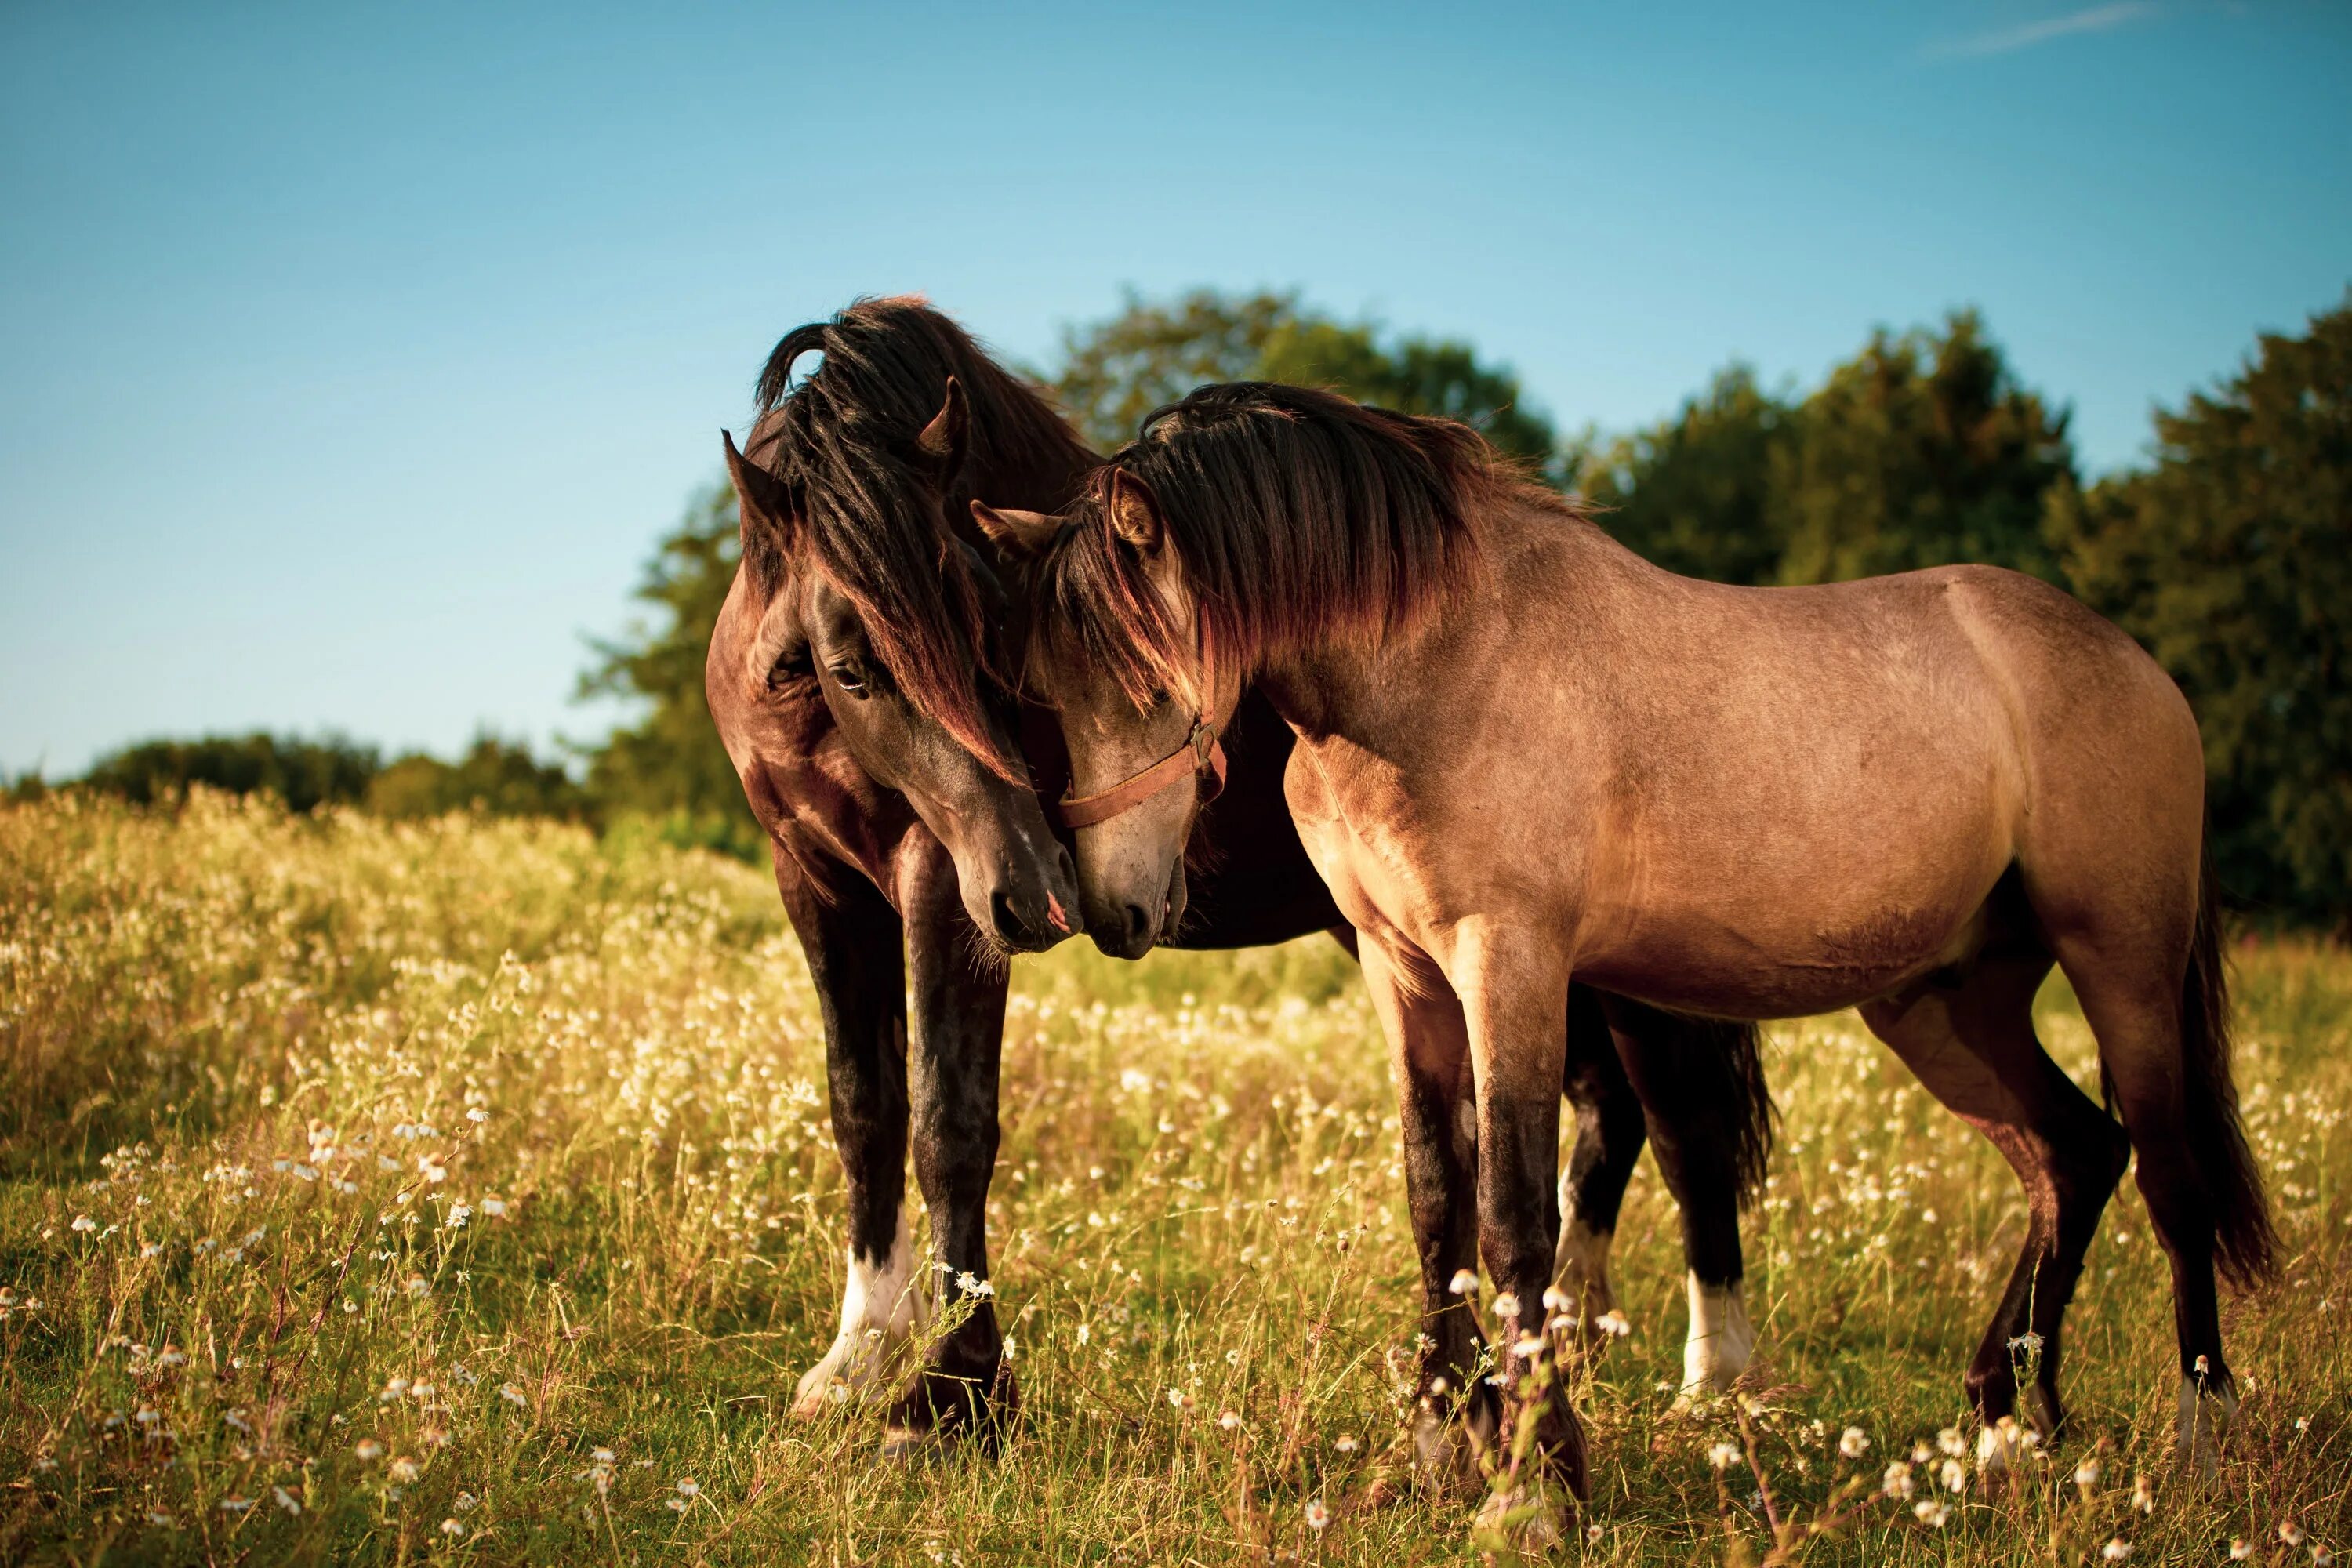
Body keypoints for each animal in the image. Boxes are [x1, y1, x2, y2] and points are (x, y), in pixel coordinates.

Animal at [706, 303, 1769, 1457]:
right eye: (856, 668)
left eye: (997, 650)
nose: (1041, 892)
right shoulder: (818, 887)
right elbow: (864, 1110)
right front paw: (858, 1359)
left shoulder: (944, 890)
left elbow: (952, 1125)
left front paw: (952, 1393)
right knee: (1610, 1117)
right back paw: (1574, 1343)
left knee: (1683, 1125)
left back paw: (1714, 1385)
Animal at [997, 376, 2277, 1504]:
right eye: (1045, 688)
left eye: (1142, 676)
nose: (1112, 909)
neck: (1439, 663)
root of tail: (2136, 665)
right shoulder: (1403, 975)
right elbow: (1435, 1204)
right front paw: (1439, 1452)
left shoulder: (1507, 962)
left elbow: (1517, 1218)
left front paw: (1535, 1477)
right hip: (1946, 1001)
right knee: (2072, 1154)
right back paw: (2005, 1421)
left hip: (2121, 965)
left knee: (2168, 1176)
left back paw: (2200, 1448)